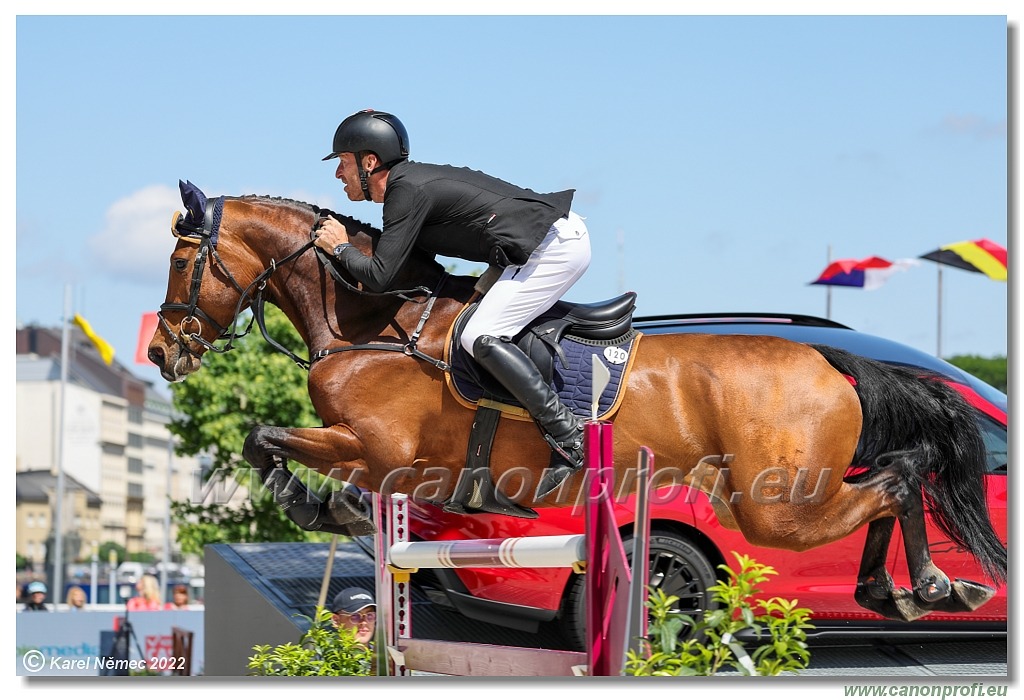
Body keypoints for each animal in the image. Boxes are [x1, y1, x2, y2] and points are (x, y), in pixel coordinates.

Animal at [148, 183, 1003, 622]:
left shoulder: (382, 452)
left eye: (183, 260)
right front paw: (328, 510)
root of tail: (833, 358)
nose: (161, 352)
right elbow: (266, 440)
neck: (372, 327)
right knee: (895, 479)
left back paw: (925, 586)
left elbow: (267, 439)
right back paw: (911, 590)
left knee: (898, 478)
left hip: (775, 507)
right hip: (771, 496)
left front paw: (322, 508)